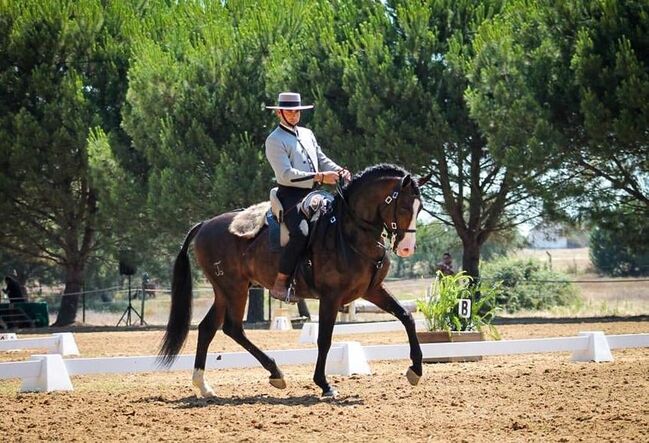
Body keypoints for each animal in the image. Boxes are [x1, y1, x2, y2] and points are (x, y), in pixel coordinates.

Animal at [157, 164, 430, 398]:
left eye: (420, 209)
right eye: (403, 207)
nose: (407, 248)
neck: (350, 232)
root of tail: (205, 224)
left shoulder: (372, 290)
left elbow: (406, 317)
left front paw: (415, 370)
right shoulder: (331, 297)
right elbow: (324, 339)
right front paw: (324, 384)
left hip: (225, 290)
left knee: (208, 328)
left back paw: (205, 386)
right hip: (234, 288)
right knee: (232, 328)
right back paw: (275, 372)